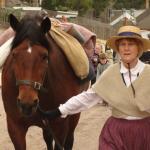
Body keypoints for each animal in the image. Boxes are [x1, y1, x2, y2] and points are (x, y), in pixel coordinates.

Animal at [1, 13, 89, 149]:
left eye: (44, 56)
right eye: (14, 54)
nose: (27, 104)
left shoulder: (60, 125)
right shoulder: (15, 127)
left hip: (74, 114)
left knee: (69, 140)